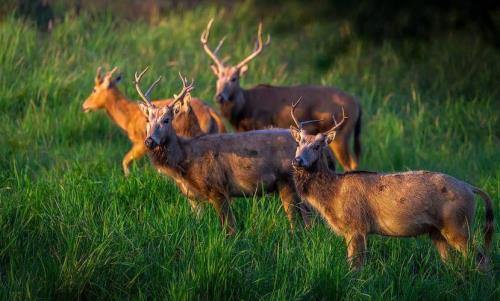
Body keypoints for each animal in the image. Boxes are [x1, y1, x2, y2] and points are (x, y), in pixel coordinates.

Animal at [81, 64, 225, 175]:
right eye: (148, 120)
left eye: (94, 89)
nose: (84, 106)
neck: (129, 117)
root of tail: (211, 111)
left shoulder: (140, 142)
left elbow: (125, 161)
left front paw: (128, 177)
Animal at [133, 67, 338, 232]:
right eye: (148, 120)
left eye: (166, 120)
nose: (149, 141)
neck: (186, 159)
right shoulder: (194, 197)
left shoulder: (217, 187)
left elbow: (230, 229)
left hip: (287, 181)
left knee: (299, 222)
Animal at [202, 19, 364, 171]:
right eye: (218, 78)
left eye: (234, 78)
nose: (219, 96)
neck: (245, 108)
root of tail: (357, 102)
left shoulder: (262, 123)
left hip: (340, 134)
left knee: (351, 164)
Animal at [290, 99, 496, 268]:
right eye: (298, 143)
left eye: (317, 146)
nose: (297, 161)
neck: (334, 194)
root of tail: (471, 188)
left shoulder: (356, 226)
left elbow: (355, 267)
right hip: (437, 232)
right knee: (454, 264)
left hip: (458, 225)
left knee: (481, 260)